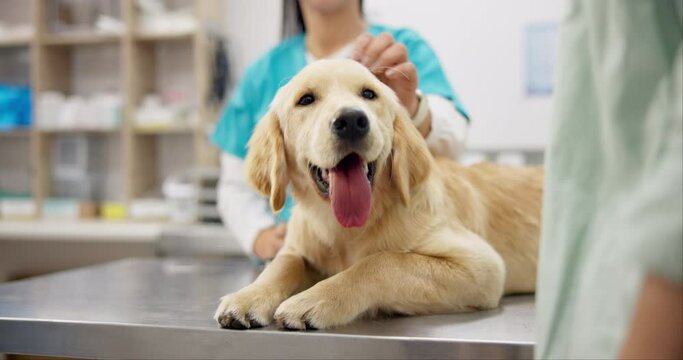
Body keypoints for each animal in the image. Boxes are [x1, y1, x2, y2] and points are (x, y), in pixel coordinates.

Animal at [215, 58, 544, 330]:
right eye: (305, 99)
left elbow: (382, 262)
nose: (351, 120)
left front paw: (314, 299)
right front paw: (248, 296)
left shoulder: (482, 265)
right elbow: (283, 264)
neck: (345, 229)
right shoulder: (299, 249)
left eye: (369, 94)